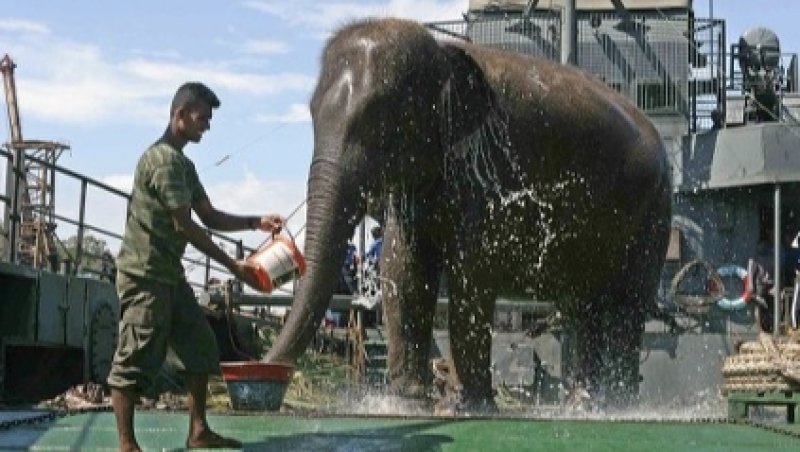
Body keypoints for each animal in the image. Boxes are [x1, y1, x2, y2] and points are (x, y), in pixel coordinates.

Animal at [265, 17, 672, 411]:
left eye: (381, 125)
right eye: (312, 113)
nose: (269, 375)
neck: (445, 56)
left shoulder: (490, 168)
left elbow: (471, 269)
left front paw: (466, 406)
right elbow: (404, 265)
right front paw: (406, 404)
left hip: (653, 212)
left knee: (625, 306)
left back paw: (616, 404)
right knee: (584, 306)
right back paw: (583, 405)